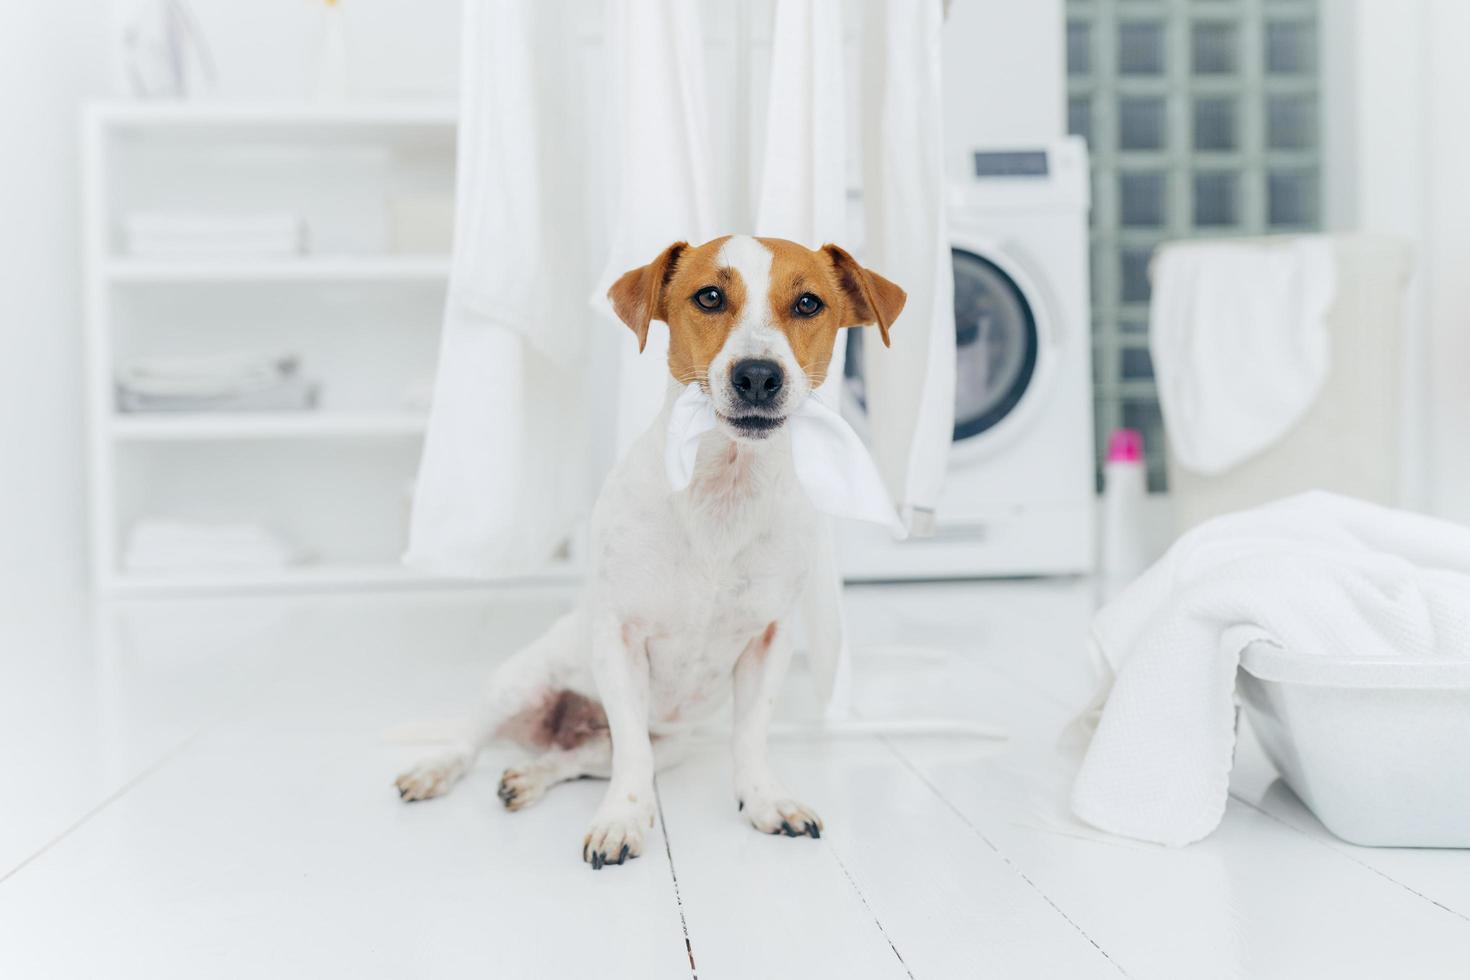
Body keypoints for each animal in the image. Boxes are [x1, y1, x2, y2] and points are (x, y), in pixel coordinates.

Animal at [391, 233, 899, 869]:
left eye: (808, 303)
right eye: (709, 296)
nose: (758, 376)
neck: (724, 488)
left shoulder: (769, 639)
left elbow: (750, 734)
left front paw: (764, 799)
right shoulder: (620, 638)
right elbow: (632, 750)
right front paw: (623, 820)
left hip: (669, 742)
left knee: (577, 760)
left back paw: (530, 776)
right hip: (517, 682)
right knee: (470, 737)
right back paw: (434, 769)